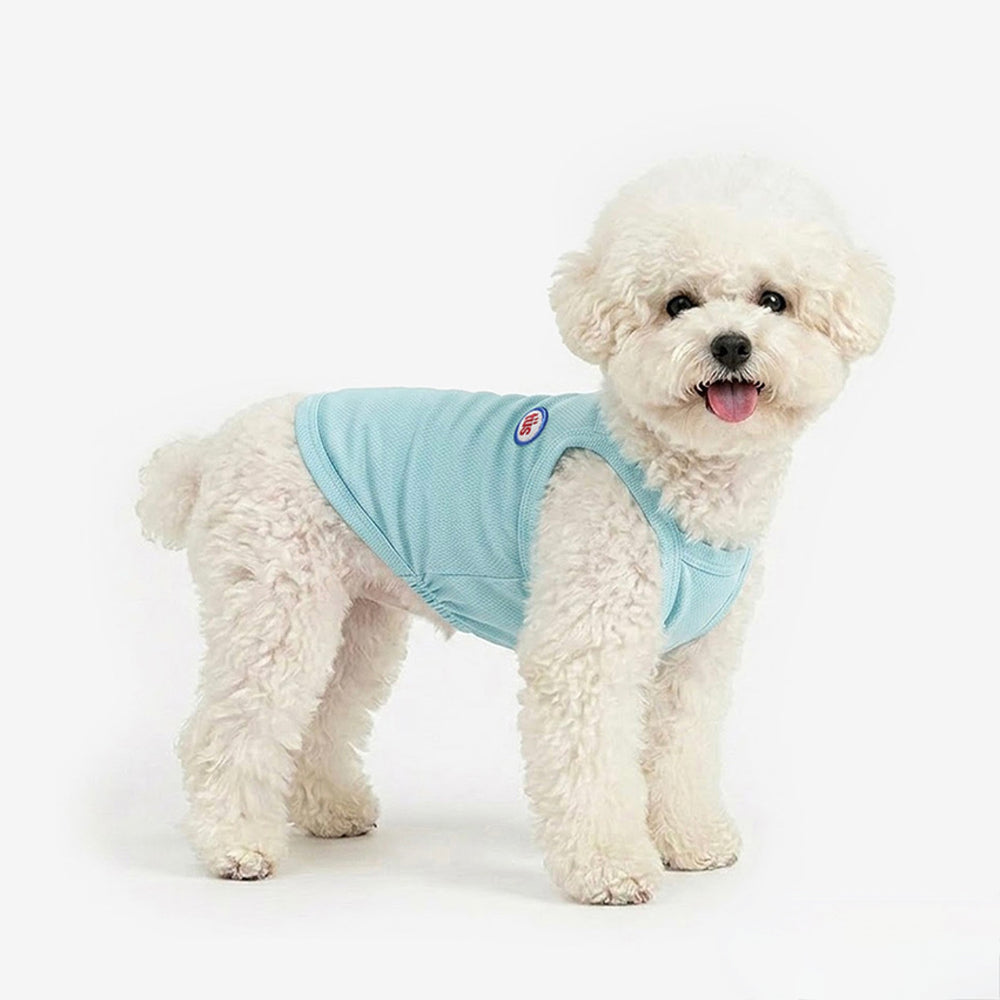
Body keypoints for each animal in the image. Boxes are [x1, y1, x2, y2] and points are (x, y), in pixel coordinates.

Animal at [137, 155, 892, 904]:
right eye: (679, 303)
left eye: (774, 301)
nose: (731, 344)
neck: (668, 469)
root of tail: (210, 450)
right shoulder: (588, 642)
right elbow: (591, 762)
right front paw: (609, 867)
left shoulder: (696, 660)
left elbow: (682, 749)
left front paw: (690, 839)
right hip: (273, 605)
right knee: (229, 725)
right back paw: (235, 844)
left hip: (356, 621)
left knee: (323, 714)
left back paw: (330, 810)